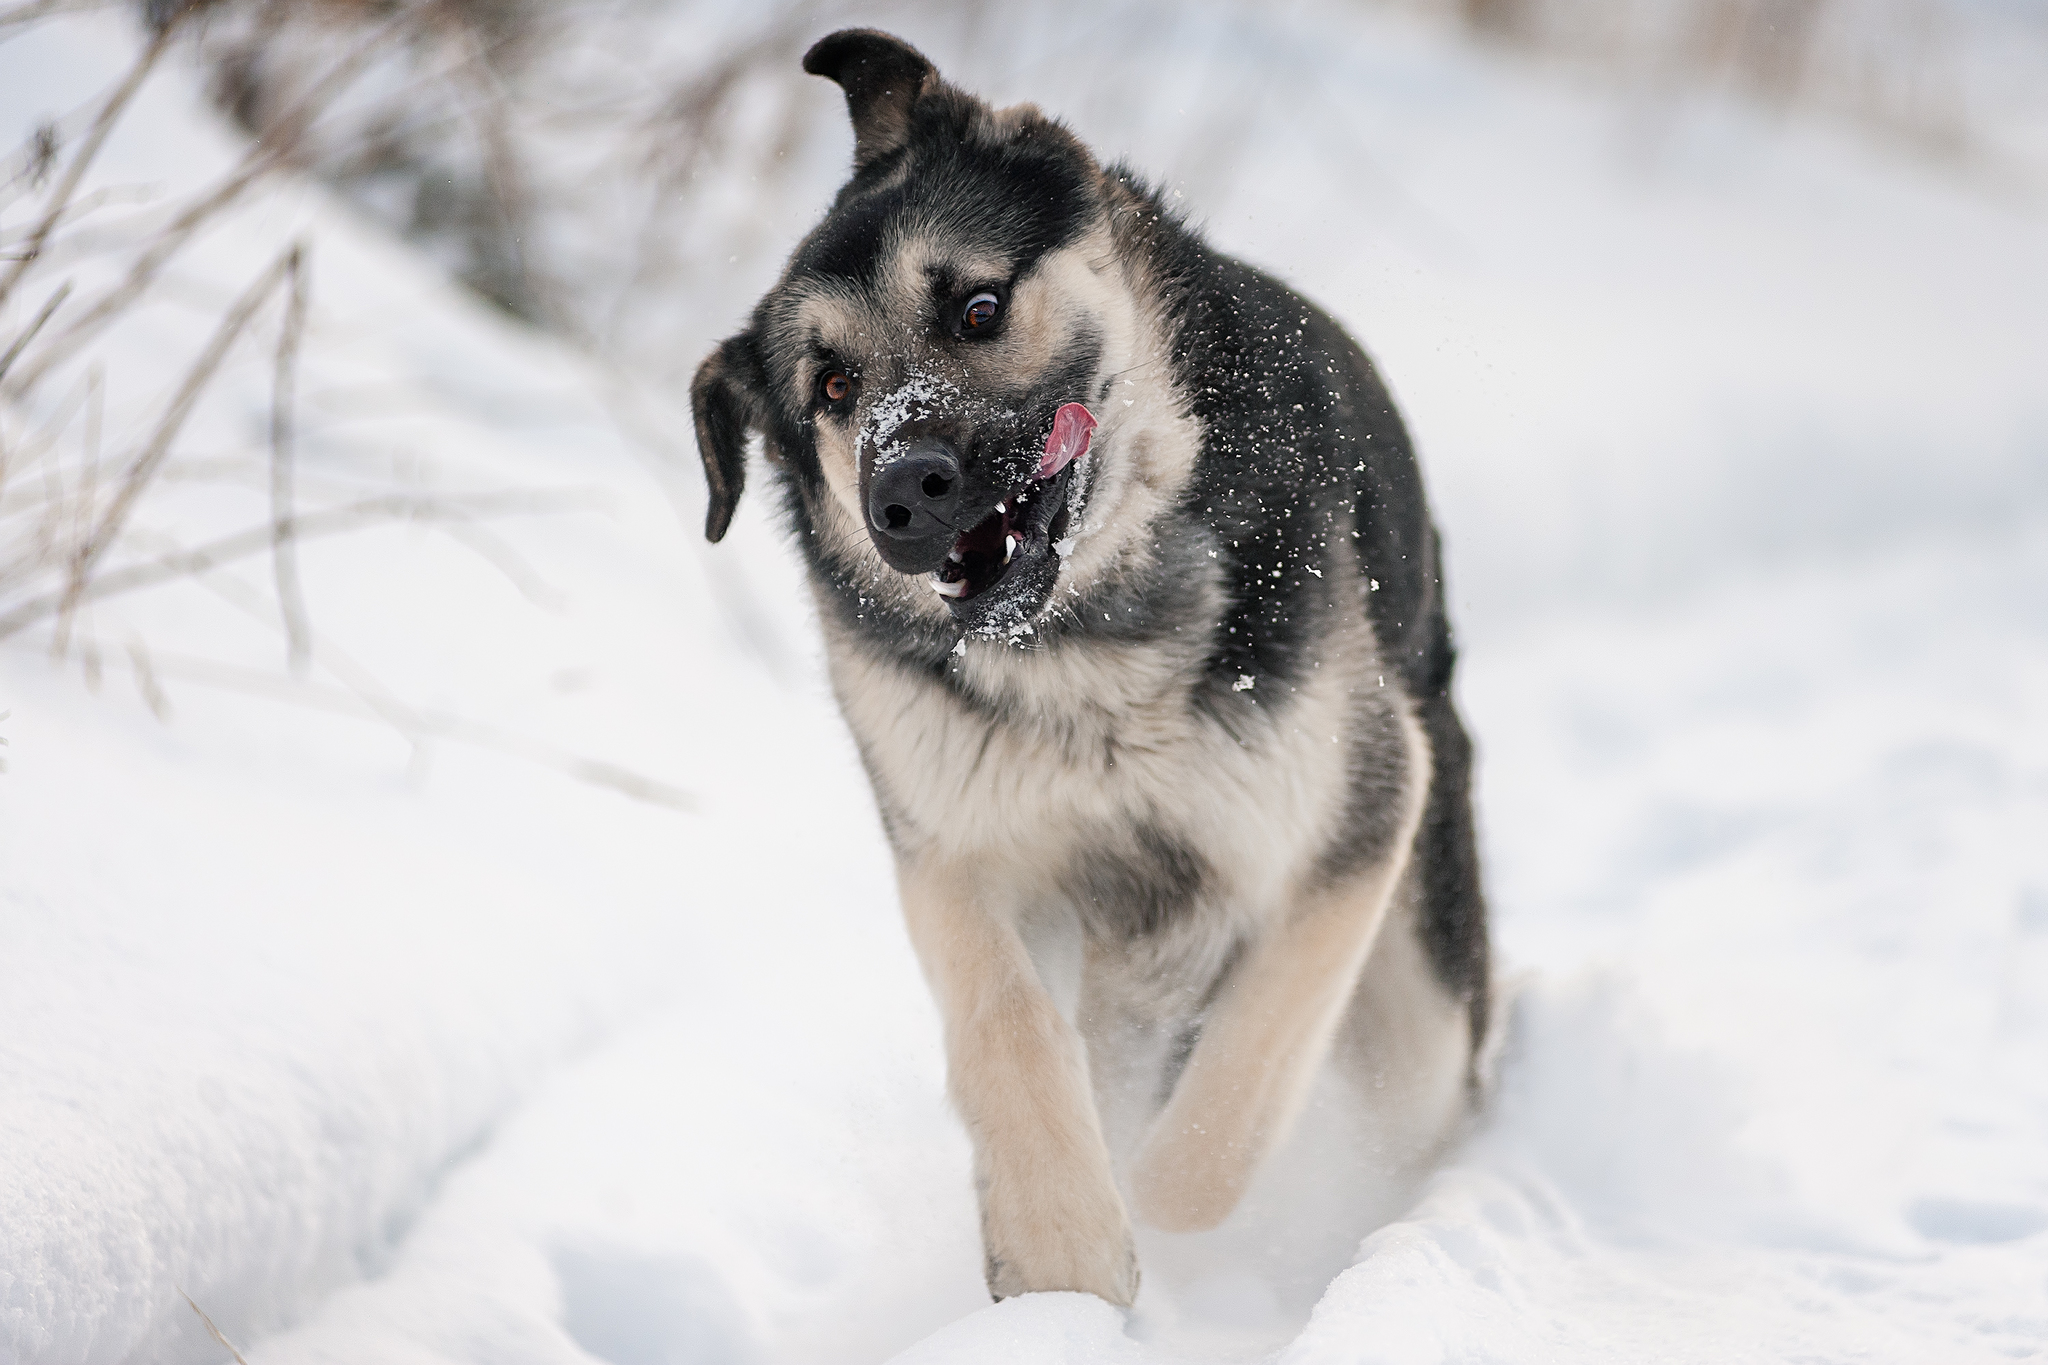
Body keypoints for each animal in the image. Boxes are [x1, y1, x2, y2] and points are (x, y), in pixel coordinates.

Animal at [688, 29, 1490, 1309]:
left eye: (976, 306)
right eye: (830, 390)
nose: (904, 493)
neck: (1085, 650)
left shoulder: (1345, 825)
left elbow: (1232, 1091)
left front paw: (1154, 1208)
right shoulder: (954, 859)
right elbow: (1005, 1026)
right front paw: (1056, 1246)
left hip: (1414, 998)